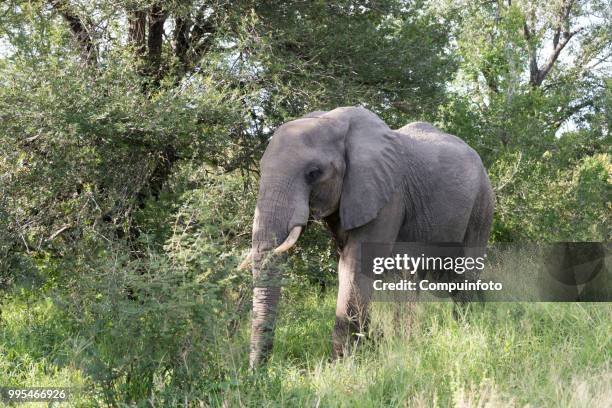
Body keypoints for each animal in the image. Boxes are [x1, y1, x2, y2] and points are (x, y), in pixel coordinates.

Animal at [241, 107, 494, 368]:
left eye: (313, 173)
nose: (257, 372)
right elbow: (347, 265)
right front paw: (367, 349)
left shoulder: (388, 196)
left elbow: (356, 265)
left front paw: (342, 365)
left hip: (482, 204)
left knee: (463, 270)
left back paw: (467, 327)